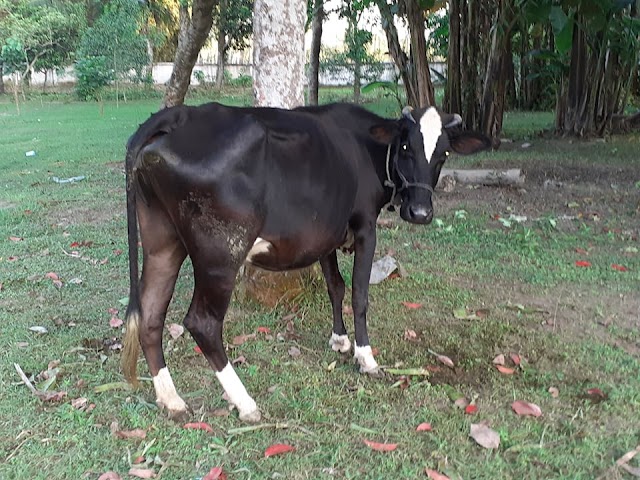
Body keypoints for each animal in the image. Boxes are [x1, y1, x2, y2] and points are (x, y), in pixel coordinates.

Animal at [121, 100, 490, 420]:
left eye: (443, 153)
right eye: (404, 147)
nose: (420, 212)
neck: (366, 147)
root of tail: (183, 114)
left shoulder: (326, 232)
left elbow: (335, 285)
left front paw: (340, 340)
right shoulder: (365, 227)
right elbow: (358, 293)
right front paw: (365, 357)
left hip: (162, 241)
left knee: (150, 313)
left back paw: (171, 399)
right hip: (221, 253)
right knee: (202, 323)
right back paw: (245, 402)